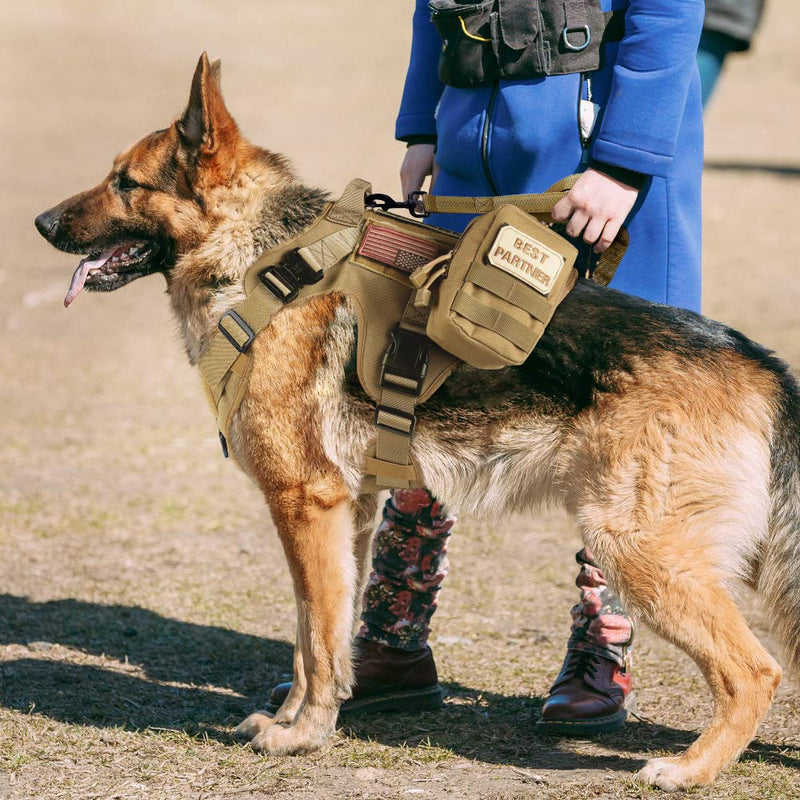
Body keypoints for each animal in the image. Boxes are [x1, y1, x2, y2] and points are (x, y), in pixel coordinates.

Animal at [34, 54, 796, 788]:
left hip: (634, 544)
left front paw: (303, 736)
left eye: (126, 183)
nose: (42, 224)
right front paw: (300, 718)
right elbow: (317, 634)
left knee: (756, 671)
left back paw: (691, 769)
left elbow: (316, 637)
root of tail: (756, 360)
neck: (258, 261)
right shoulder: (344, 512)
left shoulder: (304, 504)